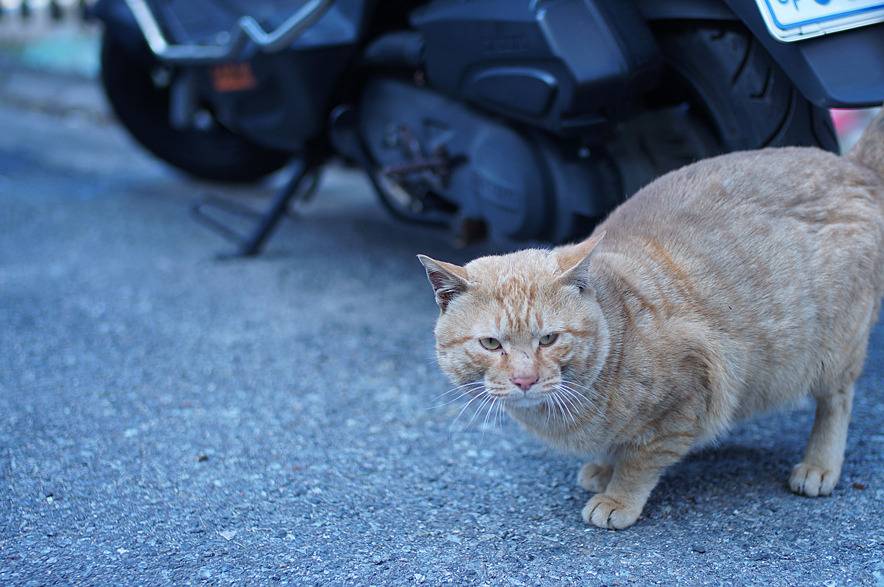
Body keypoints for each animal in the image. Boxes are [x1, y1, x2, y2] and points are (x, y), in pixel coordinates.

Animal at [420, 109, 884, 528]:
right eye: (491, 343)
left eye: (549, 339)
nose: (524, 380)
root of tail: (852, 166)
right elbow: (616, 447)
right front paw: (603, 467)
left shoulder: (689, 393)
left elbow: (641, 459)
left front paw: (617, 496)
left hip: (833, 350)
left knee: (837, 402)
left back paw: (820, 465)